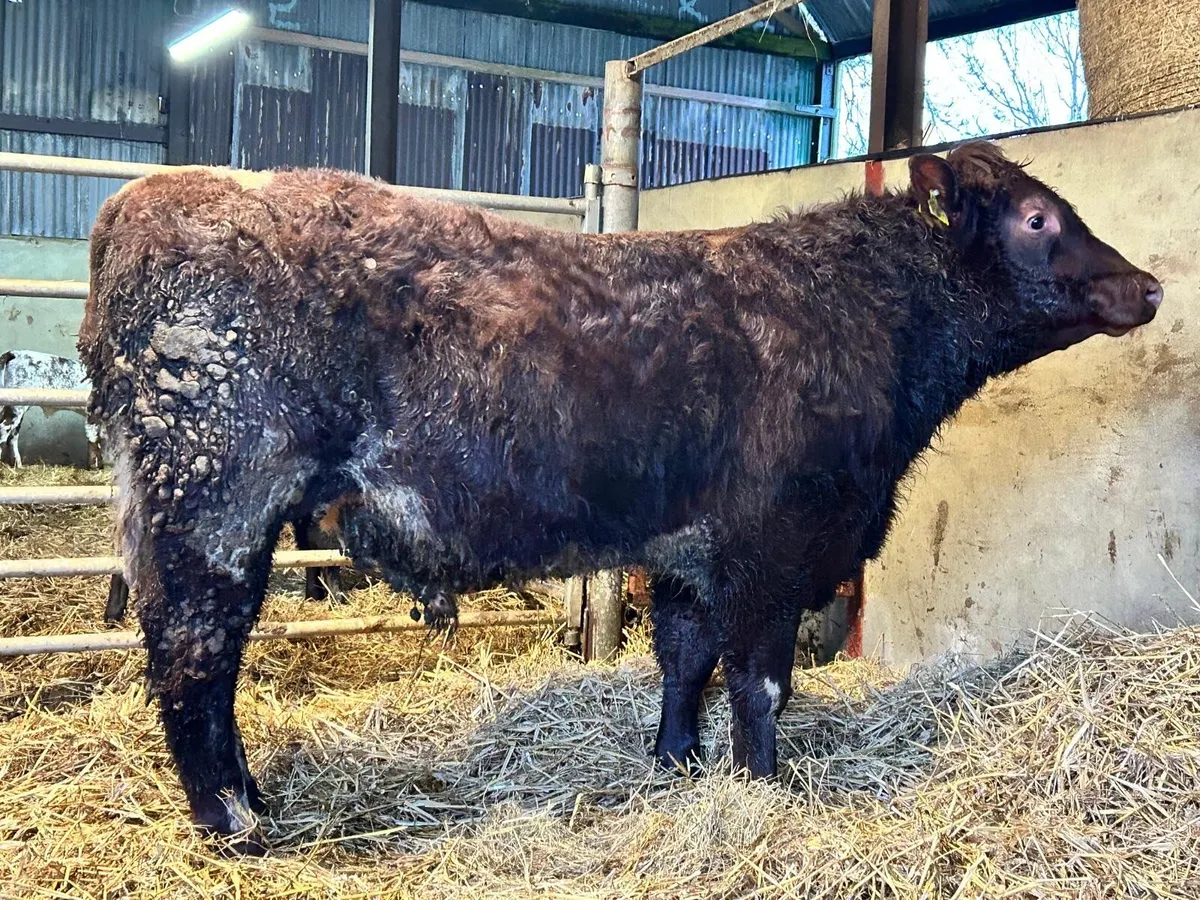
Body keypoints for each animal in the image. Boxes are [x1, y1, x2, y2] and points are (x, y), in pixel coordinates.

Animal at [79, 142, 1160, 852]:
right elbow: (760, 679)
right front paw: (761, 784)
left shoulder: (689, 546)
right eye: (1036, 219)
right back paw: (230, 818)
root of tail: (147, 199)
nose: (1148, 285)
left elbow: (684, 655)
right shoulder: (774, 543)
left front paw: (676, 758)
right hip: (213, 501)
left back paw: (252, 797)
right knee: (195, 653)